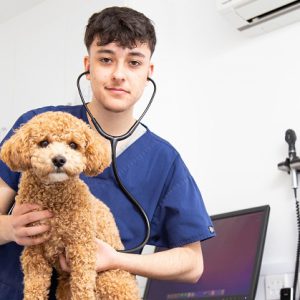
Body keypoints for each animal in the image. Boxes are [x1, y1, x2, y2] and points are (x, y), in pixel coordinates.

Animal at [0, 112, 141, 300]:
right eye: (44, 142)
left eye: (73, 145)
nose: (59, 159)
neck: (54, 199)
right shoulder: (35, 250)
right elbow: (35, 285)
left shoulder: (81, 247)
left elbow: (82, 285)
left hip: (109, 280)